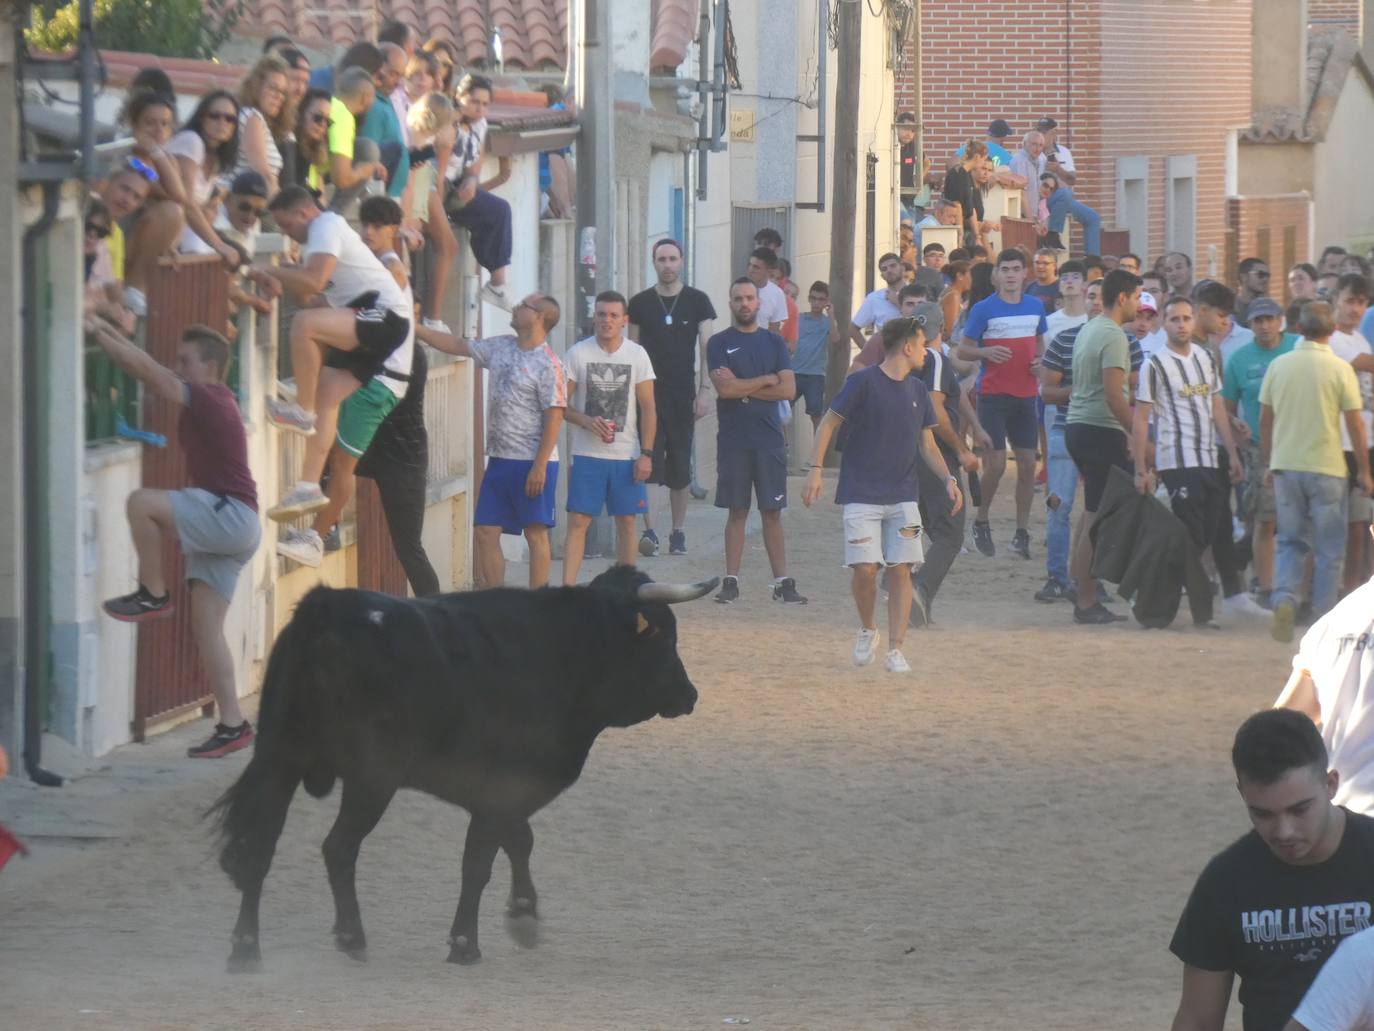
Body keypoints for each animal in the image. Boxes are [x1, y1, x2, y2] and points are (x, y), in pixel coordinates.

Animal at [211, 569, 719, 973]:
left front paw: (523, 915)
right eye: (666, 636)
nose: (690, 695)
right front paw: (465, 943)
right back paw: (351, 937)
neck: (563, 650)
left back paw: (244, 949)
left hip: (279, 759)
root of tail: (327, 608)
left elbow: (518, 842)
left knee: (259, 849)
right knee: (338, 848)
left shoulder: (505, 794)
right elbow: (479, 862)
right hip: (370, 779)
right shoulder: (500, 788)